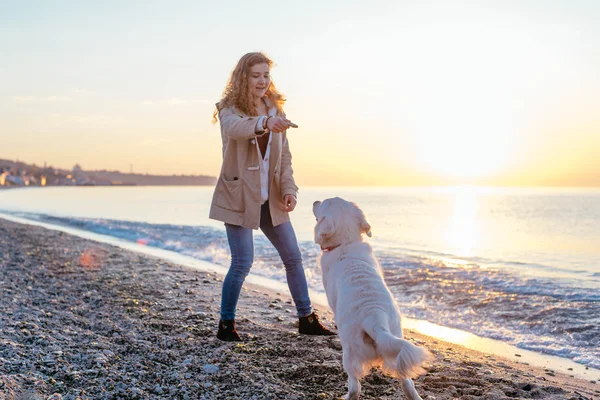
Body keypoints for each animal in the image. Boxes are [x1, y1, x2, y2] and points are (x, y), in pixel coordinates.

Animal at [312, 198, 428, 400]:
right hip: (396, 346)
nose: (315, 201)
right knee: (407, 382)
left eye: (324, 203)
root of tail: (375, 318)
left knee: (354, 387)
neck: (346, 243)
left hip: (350, 353)